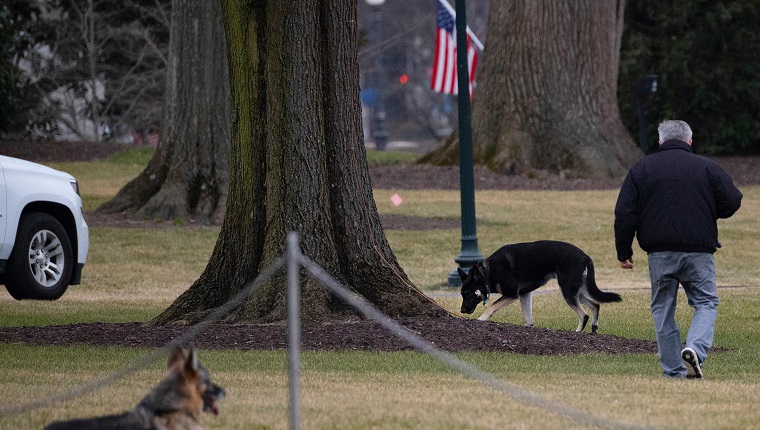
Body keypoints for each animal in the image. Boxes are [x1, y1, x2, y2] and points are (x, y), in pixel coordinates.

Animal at [460, 240, 620, 334]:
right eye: (462, 294)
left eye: (468, 293)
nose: (462, 310)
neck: (488, 272)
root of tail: (586, 257)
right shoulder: (524, 294)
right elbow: (528, 316)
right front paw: (528, 326)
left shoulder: (512, 294)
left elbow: (491, 306)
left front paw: (481, 319)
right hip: (576, 291)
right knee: (595, 305)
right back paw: (594, 329)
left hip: (567, 290)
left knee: (583, 314)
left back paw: (577, 332)